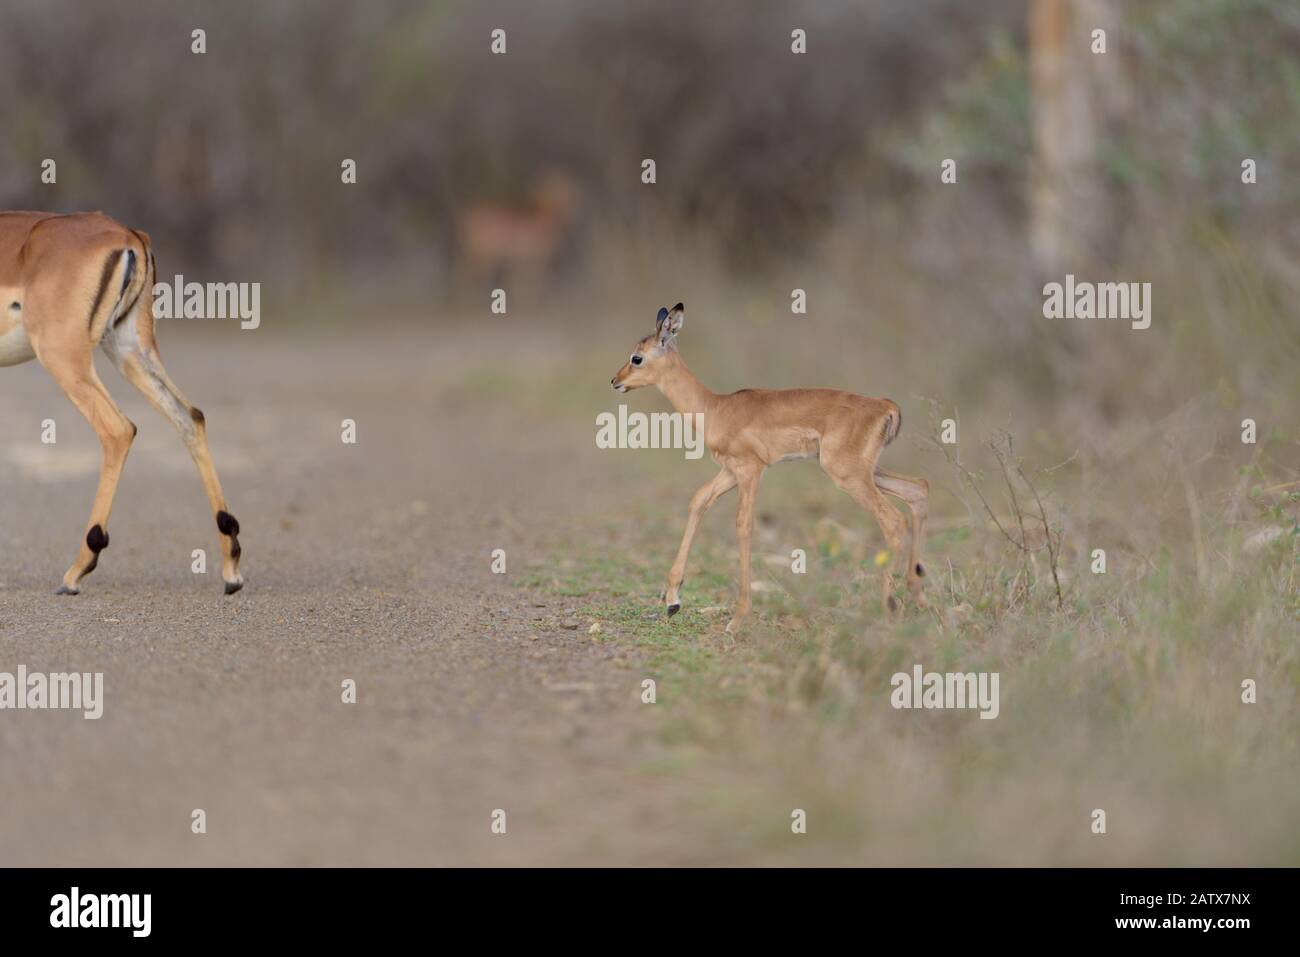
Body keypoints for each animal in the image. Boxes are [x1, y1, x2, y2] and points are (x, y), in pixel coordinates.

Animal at [0, 211, 243, 594]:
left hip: (63, 355)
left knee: (118, 429)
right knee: (190, 416)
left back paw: (76, 571)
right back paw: (231, 566)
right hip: (129, 348)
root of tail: (128, 235)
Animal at [610, 303, 929, 633]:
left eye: (637, 357)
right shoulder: (729, 472)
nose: (616, 381)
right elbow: (699, 501)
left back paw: (887, 608)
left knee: (893, 519)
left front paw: (737, 618)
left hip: (848, 474)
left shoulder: (751, 470)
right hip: (864, 472)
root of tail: (885, 405)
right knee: (918, 488)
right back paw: (917, 597)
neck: (716, 409)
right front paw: (673, 601)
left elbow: (744, 525)